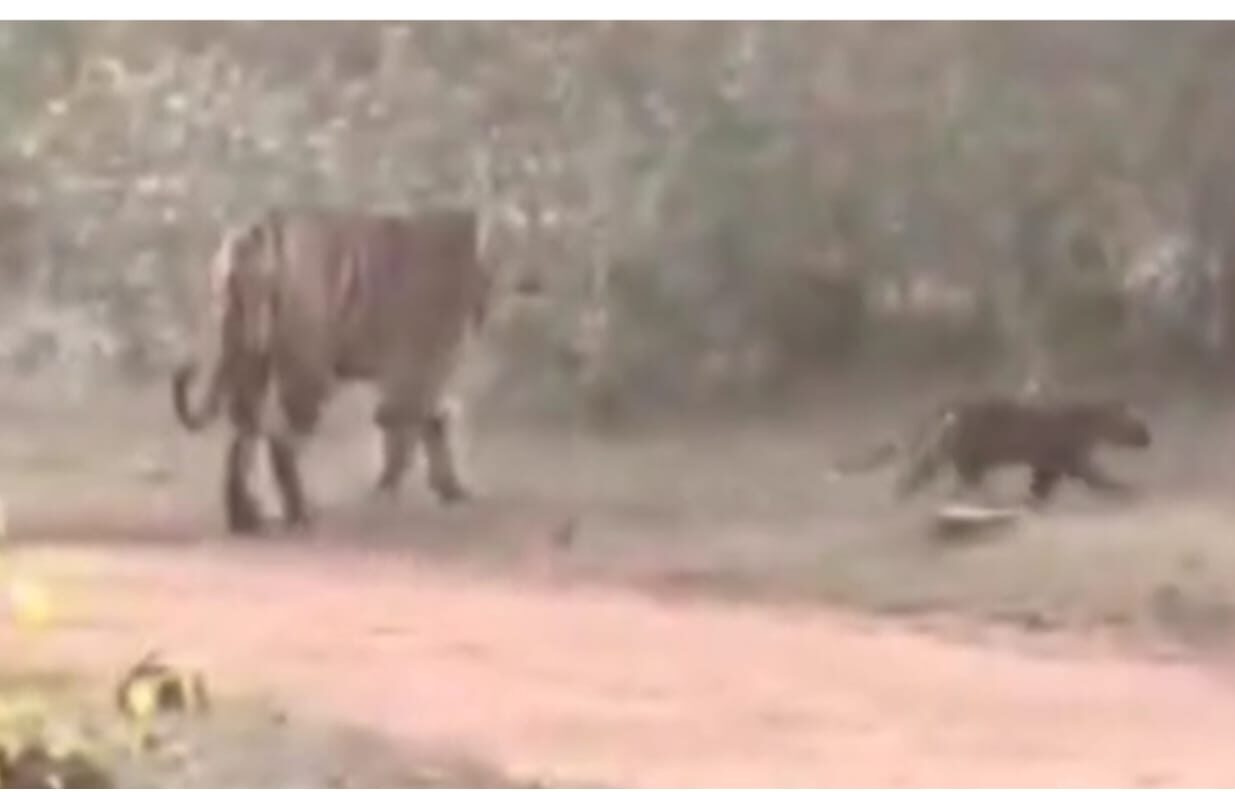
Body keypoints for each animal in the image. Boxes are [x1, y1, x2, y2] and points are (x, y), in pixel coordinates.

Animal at [172, 206, 512, 535]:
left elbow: (426, 421)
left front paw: (452, 491)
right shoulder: (425, 360)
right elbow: (411, 421)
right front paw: (389, 492)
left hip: (250, 359)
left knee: (244, 431)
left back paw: (246, 520)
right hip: (307, 373)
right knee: (279, 438)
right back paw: (300, 515)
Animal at [831, 395, 1152, 504]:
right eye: (1139, 422)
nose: (1150, 437)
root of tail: (948, 404)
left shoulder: (1049, 465)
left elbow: (1041, 487)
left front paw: (1032, 502)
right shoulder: (1071, 461)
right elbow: (1101, 478)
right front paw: (1128, 490)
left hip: (959, 457)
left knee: (925, 476)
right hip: (965, 455)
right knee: (938, 478)